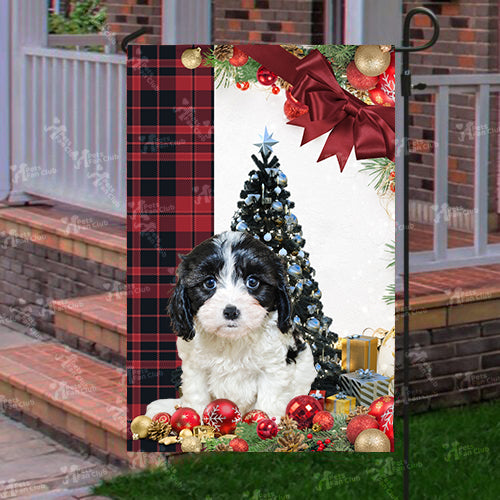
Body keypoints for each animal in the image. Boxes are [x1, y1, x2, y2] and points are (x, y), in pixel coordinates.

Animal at [146, 230, 314, 418]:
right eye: (209, 283)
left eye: (252, 282)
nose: (231, 312)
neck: (232, 339)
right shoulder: (195, 368)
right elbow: (197, 395)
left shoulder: (272, 367)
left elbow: (269, 399)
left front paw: (267, 420)